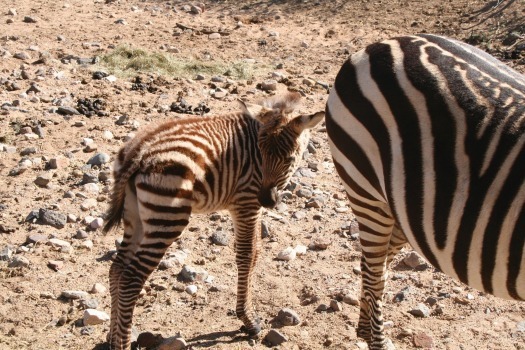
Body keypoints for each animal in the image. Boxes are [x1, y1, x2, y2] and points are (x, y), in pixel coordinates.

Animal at [102, 91, 324, 348]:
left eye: (288, 159)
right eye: (260, 152)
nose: (267, 201)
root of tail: (138, 150)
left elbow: (255, 253)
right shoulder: (246, 201)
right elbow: (248, 255)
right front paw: (248, 320)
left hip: (135, 215)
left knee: (117, 270)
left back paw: (112, 338)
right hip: (167, 216)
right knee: (130, 280)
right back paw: (122, 344)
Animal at [326, 33, 520, 350]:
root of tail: (380, 44)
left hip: (405, 211)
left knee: (374, 266)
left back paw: (364, 330)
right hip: (365, 189)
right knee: (375, 273)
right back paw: (378, 341)